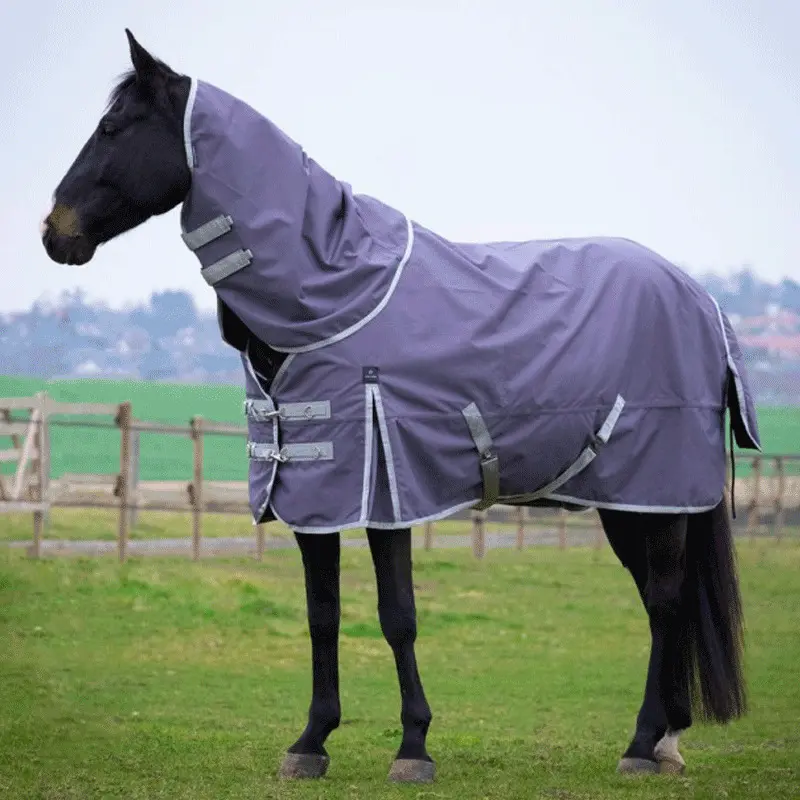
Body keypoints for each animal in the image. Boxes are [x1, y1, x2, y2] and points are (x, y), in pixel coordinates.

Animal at [42, 30, 761, 784]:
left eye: (113, 128)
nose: (53, 232)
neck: (333, 294)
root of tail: (704, 301)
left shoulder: (385, 488)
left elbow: (397, 615)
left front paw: (413, 747)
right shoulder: (312, 491)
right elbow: (323, 613)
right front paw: (311, 741)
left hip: (658, 495)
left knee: (666, 600)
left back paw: (642, 745)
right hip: (630, 502)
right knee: (659, 604)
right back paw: (666, 739)